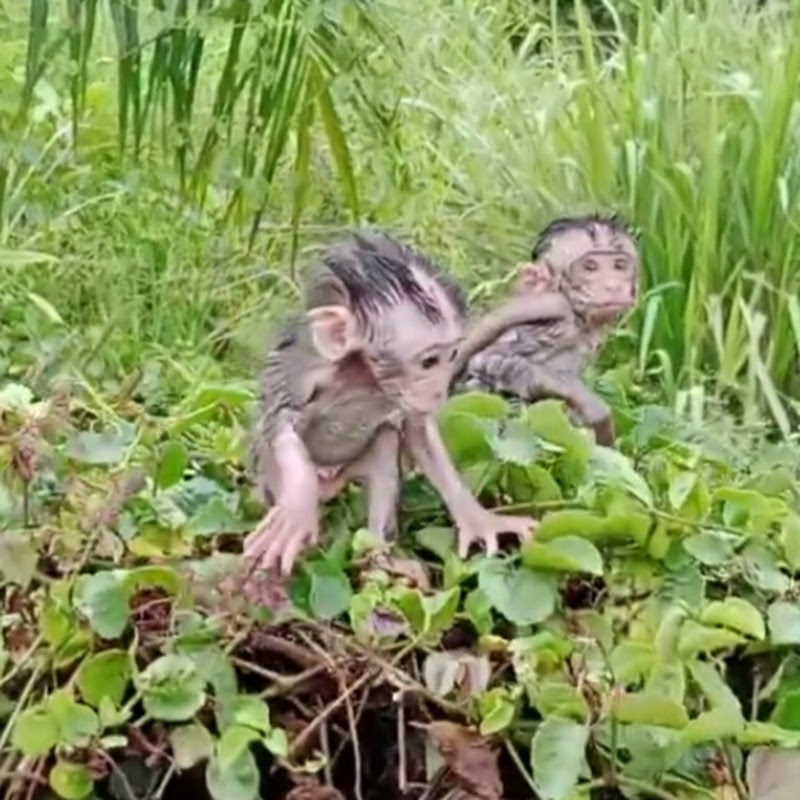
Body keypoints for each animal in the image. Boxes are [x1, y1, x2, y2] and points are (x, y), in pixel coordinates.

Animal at [244, 230, 536, 575]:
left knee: (385, 443)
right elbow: (280, 423)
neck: (364, 378)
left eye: (451, 355)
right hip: (268, 478)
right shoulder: (305, 376)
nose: (439, 392)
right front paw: (298, 505)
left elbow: (419, 432)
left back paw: (379, 556)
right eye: (428, 362)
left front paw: (479, 520)